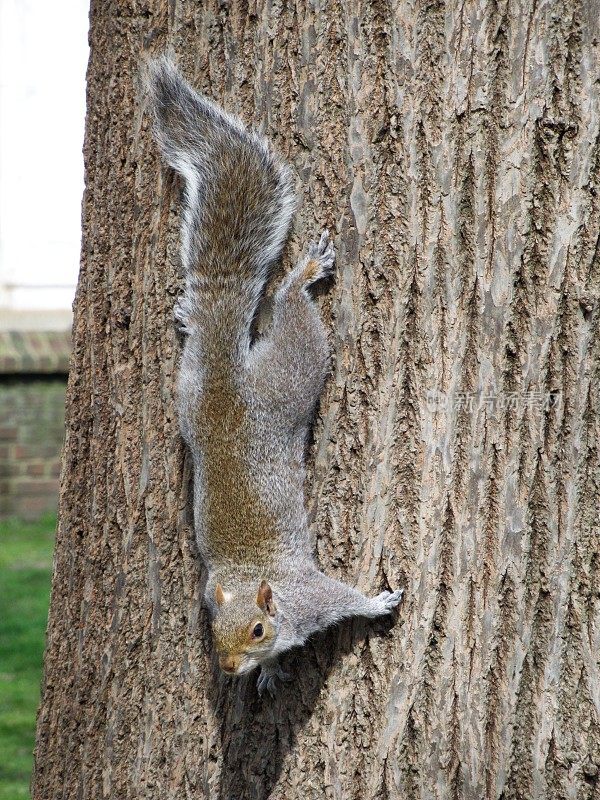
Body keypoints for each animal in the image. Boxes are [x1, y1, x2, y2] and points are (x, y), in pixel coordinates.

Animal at [148, 57, 406, 692]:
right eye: (210, 630)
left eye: (259, 630)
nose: (229, 668)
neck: (258, 586)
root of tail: (225, 383)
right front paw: (269, 675)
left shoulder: (313, 598)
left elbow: (344, 600)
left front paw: (378, 602)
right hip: (193, 394)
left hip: (292, 372)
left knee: (291, 311)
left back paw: (302, 274)